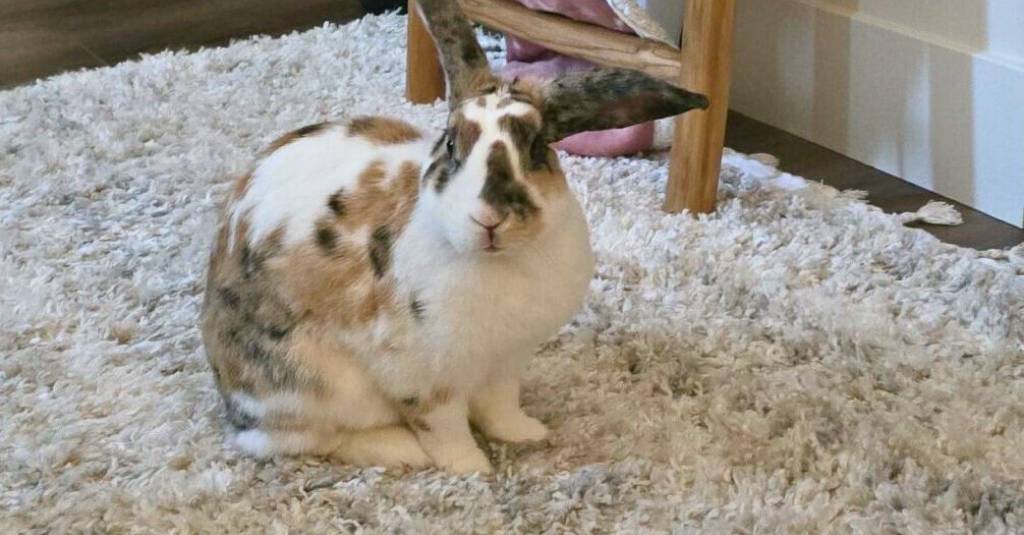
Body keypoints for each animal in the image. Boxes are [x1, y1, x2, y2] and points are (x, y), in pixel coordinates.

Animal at [202, 0, 708, 475]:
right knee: (307, 440)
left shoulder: (505, 363)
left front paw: (526, 433)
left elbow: (500, 407)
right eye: (450, 144)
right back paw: (403, 450)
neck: (499, 261)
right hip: (314, 389)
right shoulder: (426, 381)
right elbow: (445, 429)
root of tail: (230, 394)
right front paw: (471, 468)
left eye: (537, 149)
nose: (489, 219)